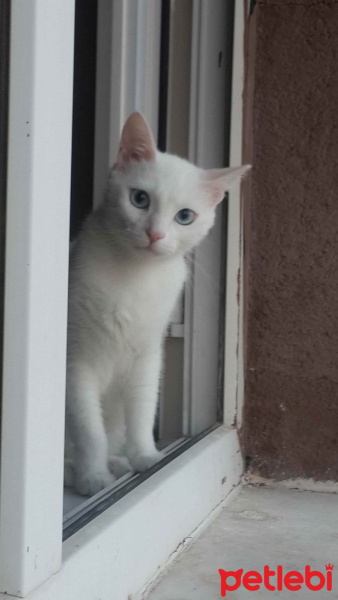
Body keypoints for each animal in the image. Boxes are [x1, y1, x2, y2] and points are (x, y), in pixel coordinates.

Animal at [66, 113, 250, 496]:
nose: (154, 234)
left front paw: (146, 457)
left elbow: (142, 410)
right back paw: (80, 471)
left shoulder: (147, 357)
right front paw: (93, 477)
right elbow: (89, 431)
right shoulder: (74, 364)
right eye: (139, 199)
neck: (135, 276)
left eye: (184, 217)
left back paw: (118, 461)